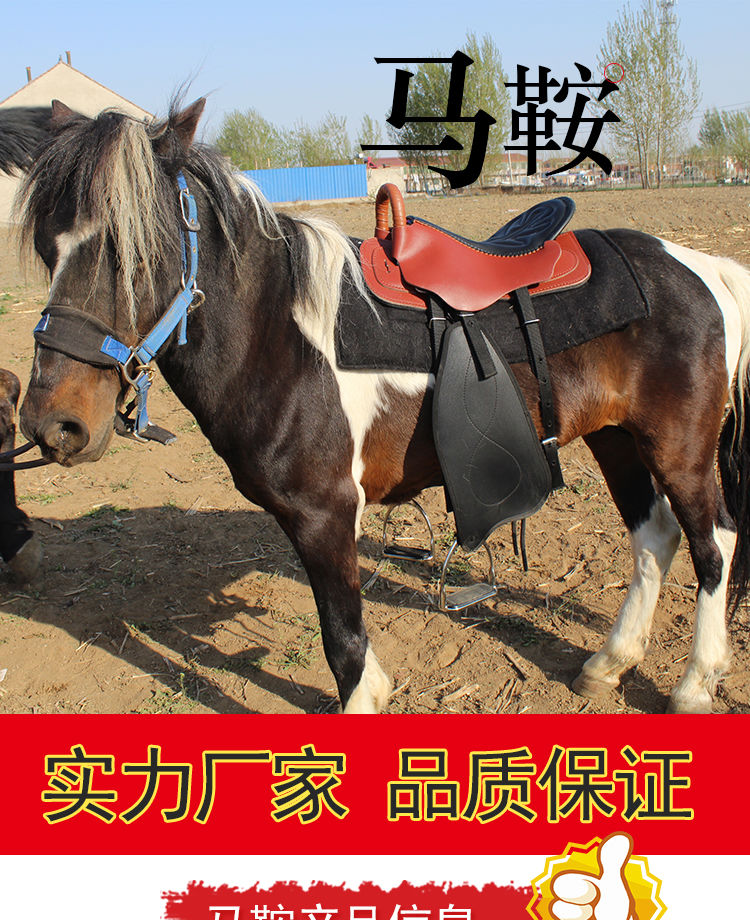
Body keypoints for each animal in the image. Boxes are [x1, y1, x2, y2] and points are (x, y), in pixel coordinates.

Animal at [14, 97, 750, 714]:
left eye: (134, 252)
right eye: (48, 246)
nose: (55, 425)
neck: (278, 333)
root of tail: (701, 266)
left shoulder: (325, 514)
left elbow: (342, 640)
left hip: (677, 447)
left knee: (713, 544)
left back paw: (693, 684)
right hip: (617, 437)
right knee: (653, 538)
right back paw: (609, 663)